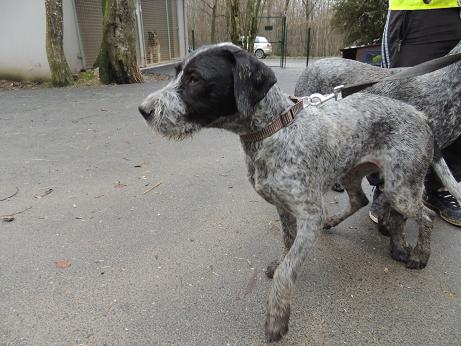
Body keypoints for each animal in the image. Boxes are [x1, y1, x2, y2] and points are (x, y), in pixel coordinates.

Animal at [138, 44, 458, 344]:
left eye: (195, 78)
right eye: (177, 72)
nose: (144, 110)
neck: (274, 130)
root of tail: (421, 116)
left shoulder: (309, 217)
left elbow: (287, 271)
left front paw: (277, 318)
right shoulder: (283, 208)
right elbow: (286, 242)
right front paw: (281, 263)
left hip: (401, 186)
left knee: (424, 216)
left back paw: (419, 254)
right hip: (360, 174)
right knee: (365, 201)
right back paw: (390, 240)